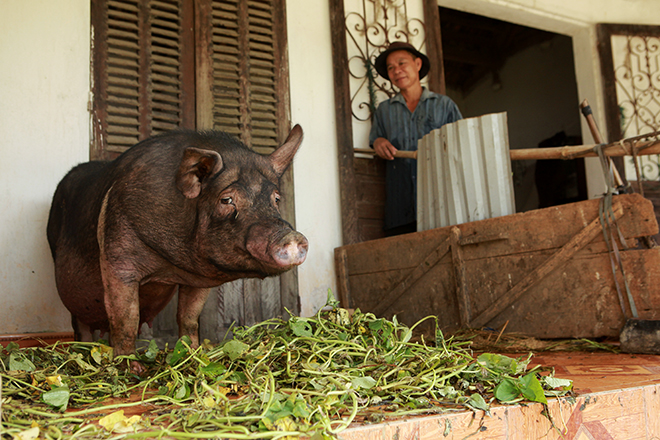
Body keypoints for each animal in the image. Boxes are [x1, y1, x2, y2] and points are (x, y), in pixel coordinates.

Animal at [46, 124, 310, 358]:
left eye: (276, 198)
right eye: (226, 199)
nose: (292, 236)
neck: (170, 266)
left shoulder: (198, 280)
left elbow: (189, 318)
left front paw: (193, 354)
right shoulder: (117, 257)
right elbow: (126, 318)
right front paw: (130, 367)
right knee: (81, 325)